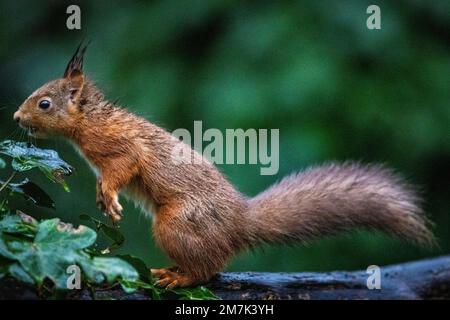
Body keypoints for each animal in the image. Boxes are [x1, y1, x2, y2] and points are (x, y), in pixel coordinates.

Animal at [13, 44, 432, 288]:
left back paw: (177, 277)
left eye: (44, 103)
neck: (89, 122)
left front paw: (110, 196)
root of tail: (238, 224)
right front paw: (103, 200)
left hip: (177, 225)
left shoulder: (121, 146)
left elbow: (123, 167)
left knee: (207, 269)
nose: (16, 117)